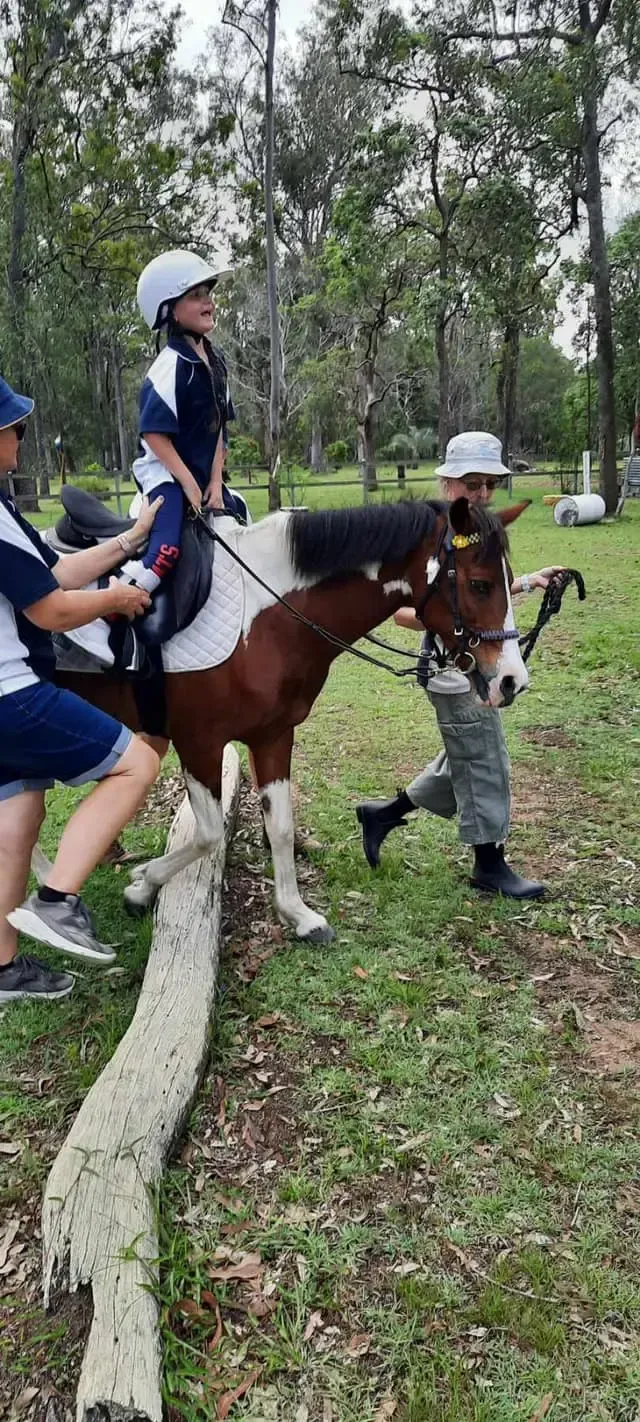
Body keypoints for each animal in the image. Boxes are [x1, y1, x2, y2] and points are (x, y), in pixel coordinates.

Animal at [39, 494, 530, 944]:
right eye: (480, 584)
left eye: (508, 581)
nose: (512, 680)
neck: (268, 619)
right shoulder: (198, 742)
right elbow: (210, 834)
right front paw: (143, 885)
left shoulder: (272, 735)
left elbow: (280, 826)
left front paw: (298, 914)